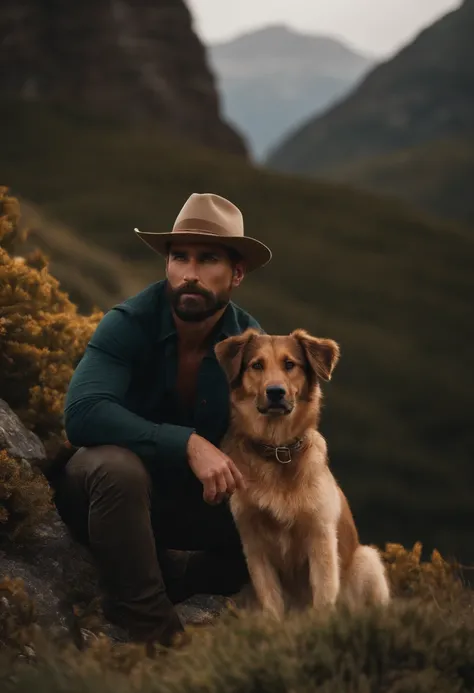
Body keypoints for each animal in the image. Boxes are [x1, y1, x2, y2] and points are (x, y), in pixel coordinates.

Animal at [215, 328, 388, 620]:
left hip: (367, 560)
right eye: (257, 365)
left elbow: (323, 595)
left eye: (289, 364)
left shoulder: (320, 538)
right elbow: (271, 600)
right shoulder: (254, 544)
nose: (275, 392)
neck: (277, 451)